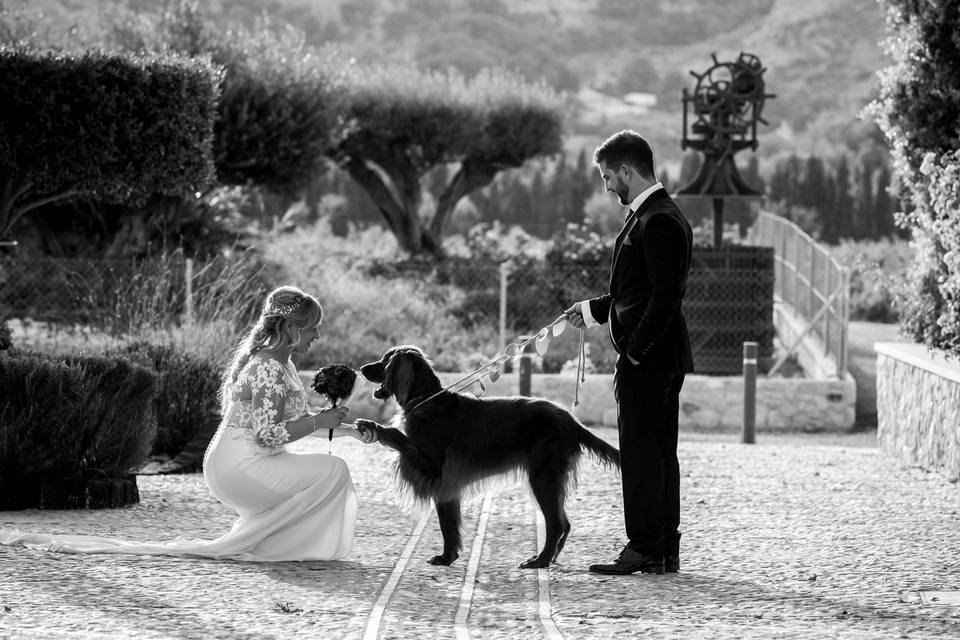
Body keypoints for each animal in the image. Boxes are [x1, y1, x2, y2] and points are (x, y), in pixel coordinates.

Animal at [356, 344, 620, 568]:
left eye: (385, 361)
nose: (361, 368)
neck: (426, 402)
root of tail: (571, 420)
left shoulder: (433, 469)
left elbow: (398, 437)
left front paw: (372, 426)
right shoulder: (446, 484)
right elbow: (448, 523)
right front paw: (448, 556)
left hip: (542, 477)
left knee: (555, 523)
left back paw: (540, 560)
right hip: (549, 479)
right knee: (564, 522)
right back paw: (551, 556)